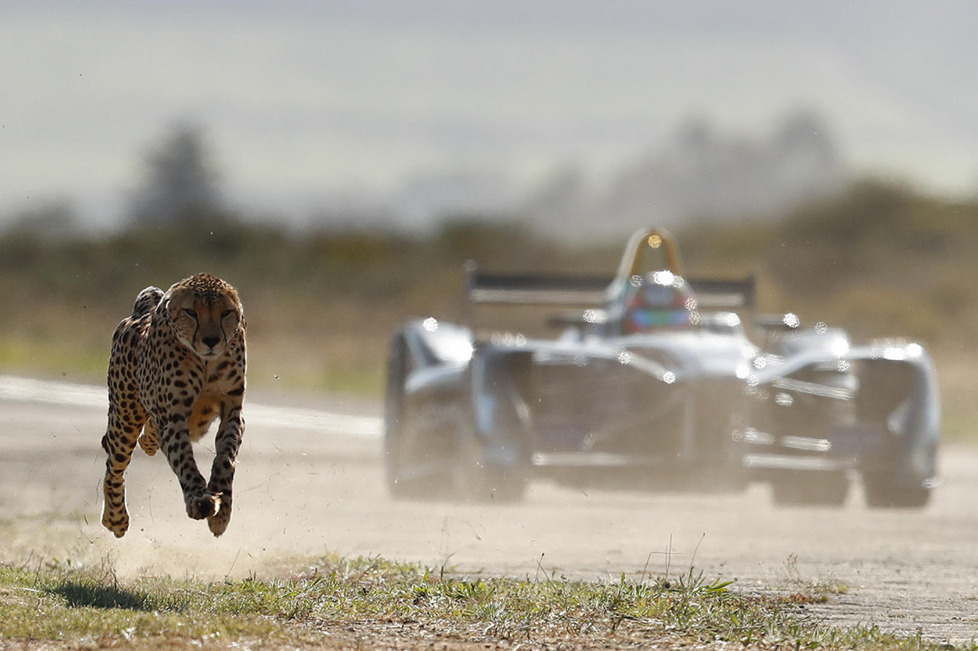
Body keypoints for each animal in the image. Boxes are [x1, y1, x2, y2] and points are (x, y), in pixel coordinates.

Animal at [100, 272, 246, 536]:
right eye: (191, 312)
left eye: (226, 313)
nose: (211, 340)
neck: (205, 362)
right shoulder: (173, 416)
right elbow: (183, 458)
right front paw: (198, 497)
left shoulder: (233, 411)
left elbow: (226, 456)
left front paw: (222, 509)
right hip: (125, 418)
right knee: (113, 463)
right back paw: (115, 518)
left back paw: (148, 442)